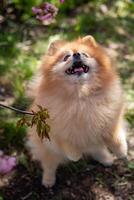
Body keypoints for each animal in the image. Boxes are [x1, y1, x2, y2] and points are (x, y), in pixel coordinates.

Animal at [26, 35, 127, 188]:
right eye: (66, 57)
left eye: (84, 54)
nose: (76, 54)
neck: (81, 96)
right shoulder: (55, 128)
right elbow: (66, 141)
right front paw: (74, 155)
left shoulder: (111, 118)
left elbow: (115, 136)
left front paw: (122, 151)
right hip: (47, 150)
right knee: (49, 165)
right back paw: (48, 181)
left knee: (96, 149)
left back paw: (106, 159)